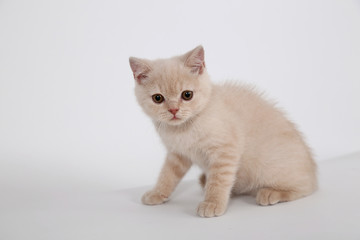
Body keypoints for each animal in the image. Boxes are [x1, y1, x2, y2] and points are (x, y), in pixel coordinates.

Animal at [129, 45, 318, 218]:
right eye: (158, 98)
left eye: (187, 95)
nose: (174, 110)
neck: (184, 129)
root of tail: (313, 170)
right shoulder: (177, 154)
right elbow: (167, 174)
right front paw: (157, 193)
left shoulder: (225, 150)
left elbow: (219, 180)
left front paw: (212, 203)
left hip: (272, 169)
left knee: (305, 187)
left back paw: (272, 192)